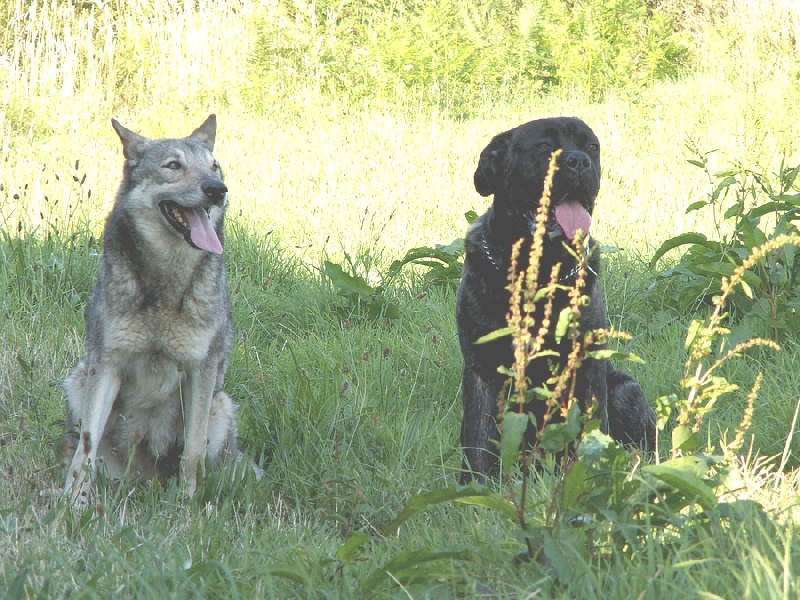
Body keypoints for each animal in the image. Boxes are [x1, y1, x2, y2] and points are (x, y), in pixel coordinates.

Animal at [63, 113, 247, 506]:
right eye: (173, 166)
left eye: (214, 166)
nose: (217, 189)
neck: (166, 282)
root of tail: (144, 480)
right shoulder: (107, 365)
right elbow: (86, 446)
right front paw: (73, 505)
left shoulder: (201, 370)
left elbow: (192, 450)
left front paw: (187, 507)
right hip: (79, 379)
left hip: (220, 405)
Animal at [456, 116, 656, 482]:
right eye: (544, 147)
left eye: (592, 146)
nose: (578, 161)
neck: (539, 275)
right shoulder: (481, 371)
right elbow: (477, 441)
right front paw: (475, 486)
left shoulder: (587, 366)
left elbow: (591, 429)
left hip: (626, 389)